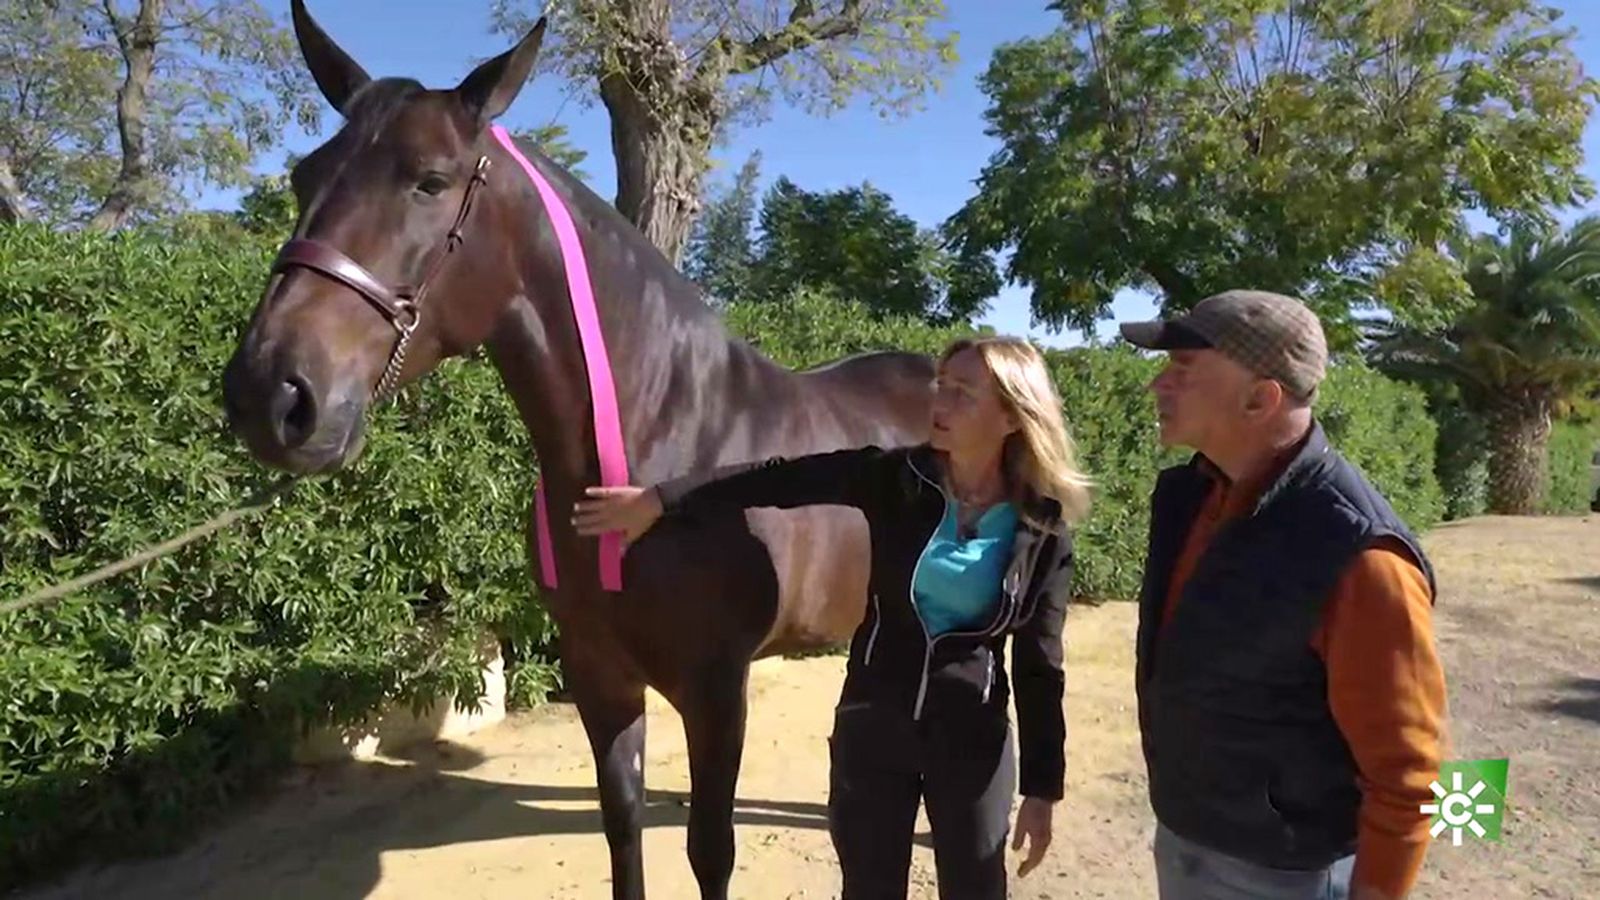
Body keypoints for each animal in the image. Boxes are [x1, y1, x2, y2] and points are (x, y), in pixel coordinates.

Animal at [219, 3, 938, 898]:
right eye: (303, 178)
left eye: (430, 180)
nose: (269, 395)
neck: (657, 446)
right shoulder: (600, 675)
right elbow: (623, 828)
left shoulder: (716, 690)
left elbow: (710, 850)